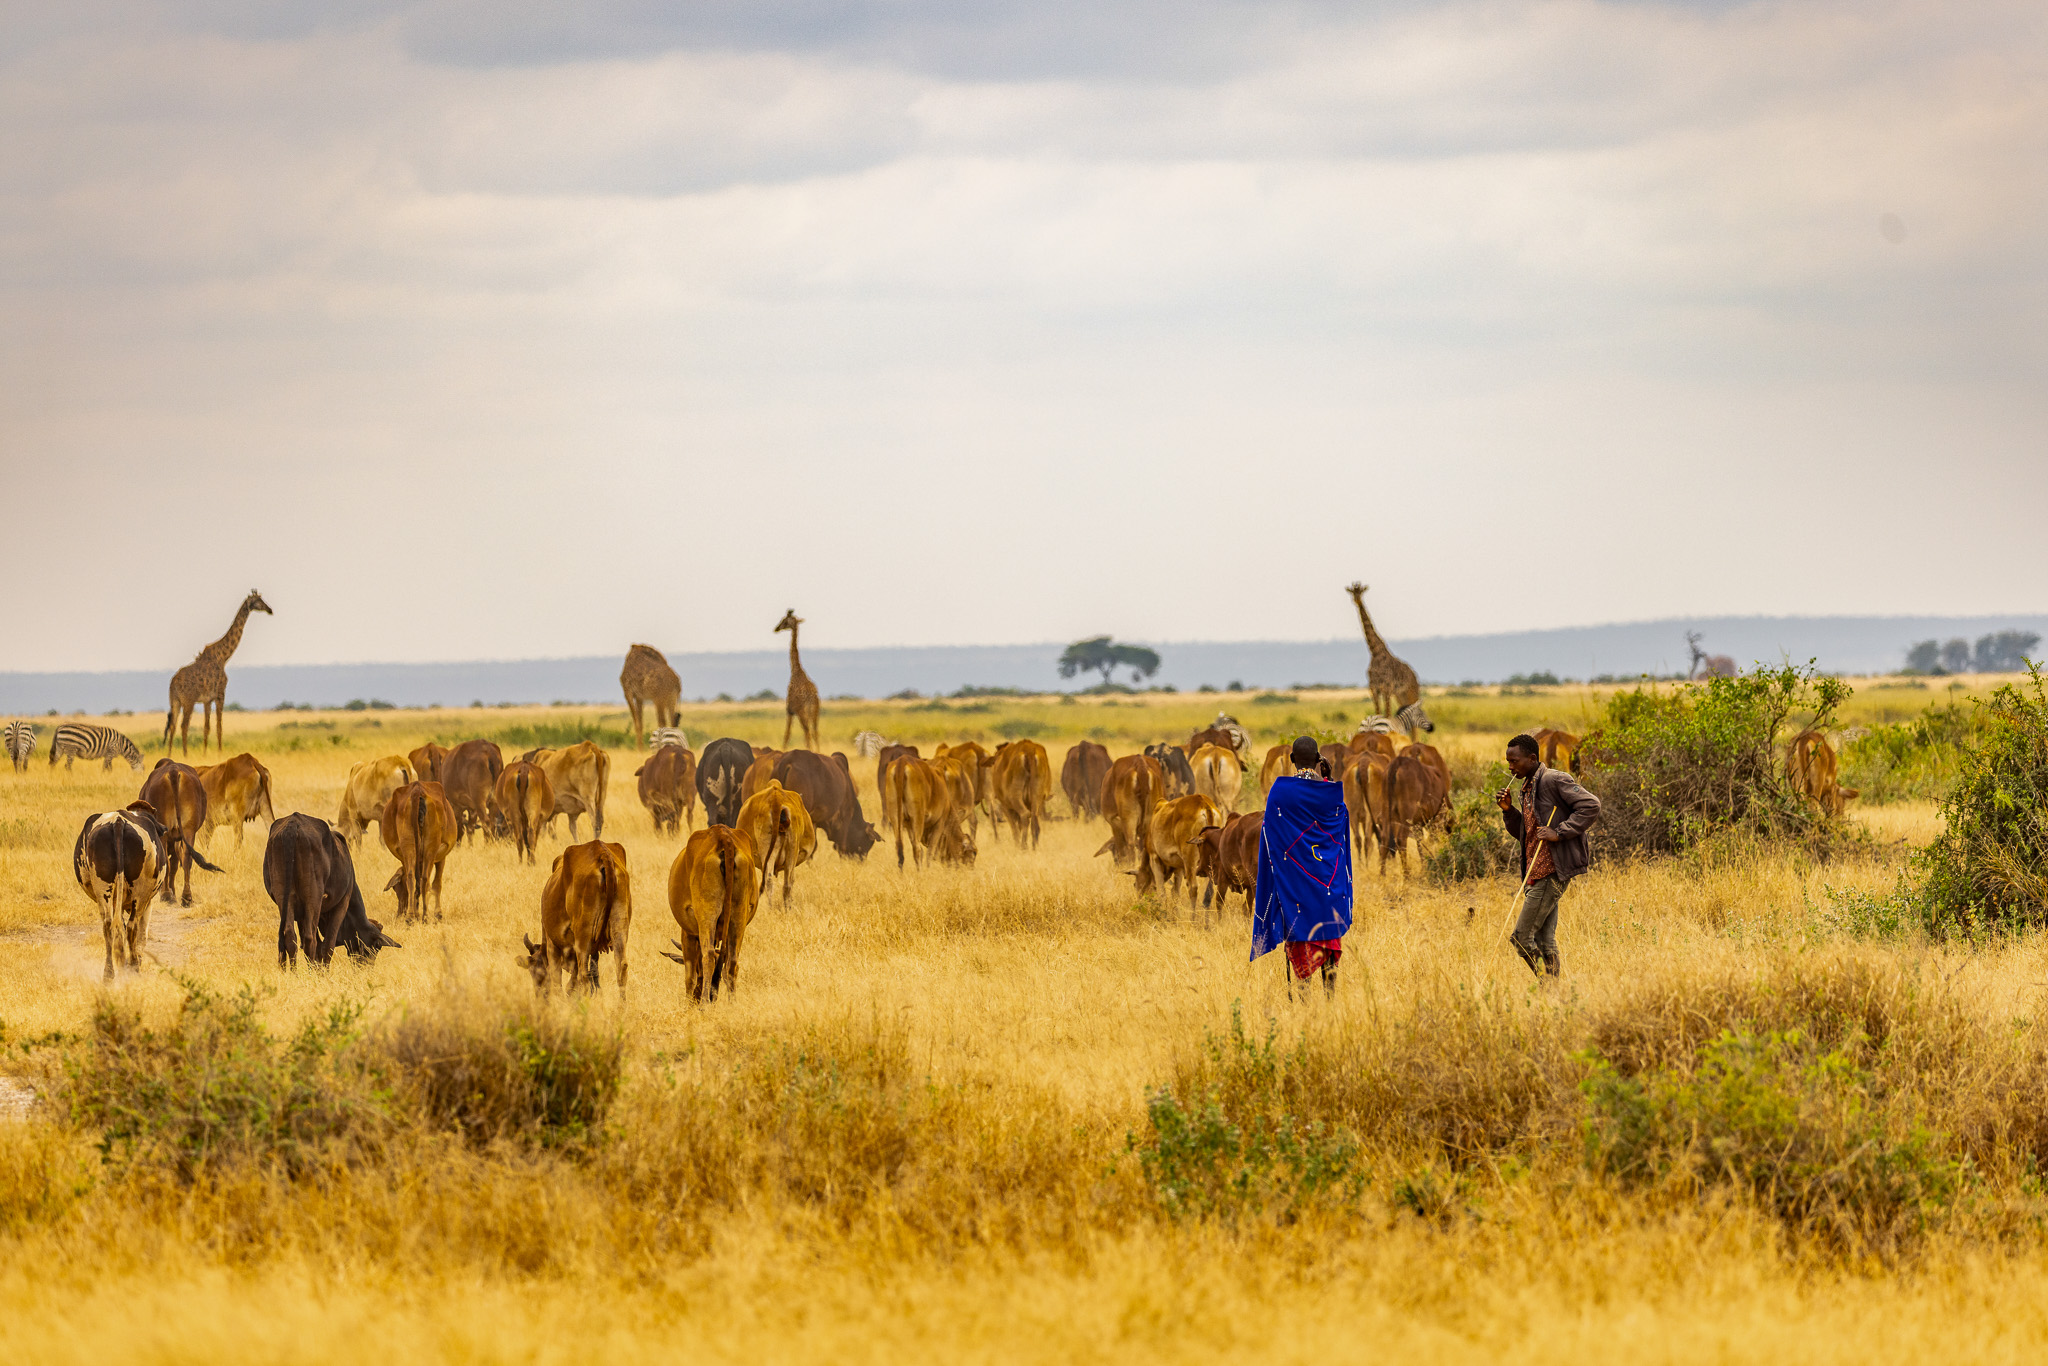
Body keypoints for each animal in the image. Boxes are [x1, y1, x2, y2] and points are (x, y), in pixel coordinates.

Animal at [165, 590, 273, 756]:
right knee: (184, 725)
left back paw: (170, 754)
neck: (223, 657)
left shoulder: (207, 700)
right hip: (188, 701)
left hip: (175, 701)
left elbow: (207, 727)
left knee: (173, 725)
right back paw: (185, 754)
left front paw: (205, 753)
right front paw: (220, 752)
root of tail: (173, 683)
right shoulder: (220, 694)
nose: (270, 610)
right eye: (258, 601)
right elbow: (219, 727)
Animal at [775, 609, 820, 751]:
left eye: (784, 620)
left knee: (808, 733)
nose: (776, 628)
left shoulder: (789, 710)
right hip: (815, 712)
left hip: (802, 713)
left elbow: (787, 735)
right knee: (815, 732)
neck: (796, 671)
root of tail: (811, 697)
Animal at [1345, 582, 1434, 737]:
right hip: (1400, 694)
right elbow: (1378, 711)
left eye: (1361, 591)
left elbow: (1386, 713)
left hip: (1411, 691)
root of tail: (1414, 674)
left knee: (1414, 723)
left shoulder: (1386, 688)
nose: (1356, 600)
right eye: (1352, 592)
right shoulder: (1373, 688)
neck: (1375, 653)